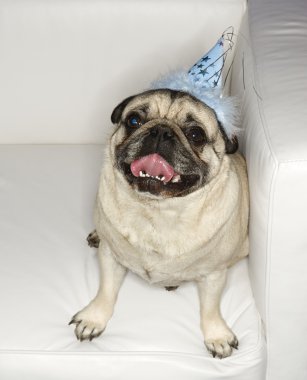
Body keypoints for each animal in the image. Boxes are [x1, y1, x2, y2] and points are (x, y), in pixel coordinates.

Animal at [68, 88, 249, 360]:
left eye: (196, 134)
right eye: (134, 121)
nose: (161, 131)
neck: (157, 210)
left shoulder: (214, 273)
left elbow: (210, 308)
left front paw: (217, 336)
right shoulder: (111, 256)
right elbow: (106, 290)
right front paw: (94, 318)